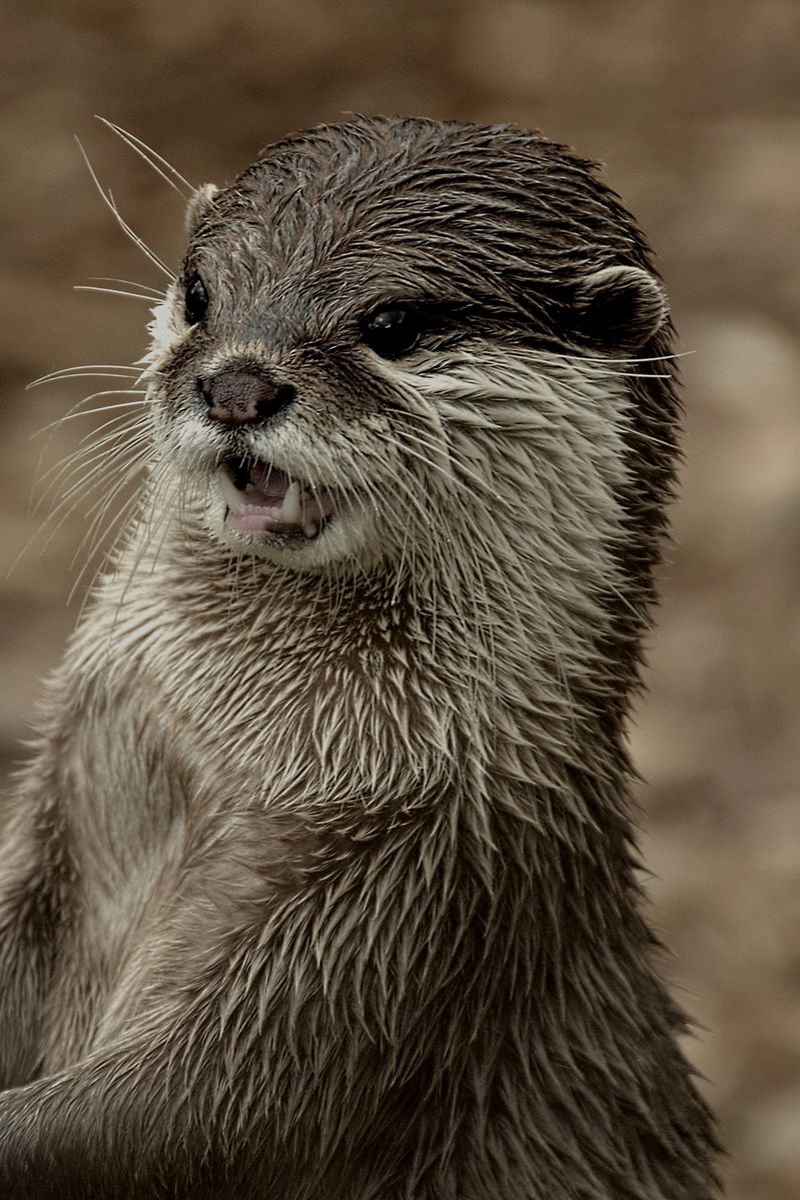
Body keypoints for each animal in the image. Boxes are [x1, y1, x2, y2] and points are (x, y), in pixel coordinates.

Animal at [0, 116, 720, 1198]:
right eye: (200, 291)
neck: (238, 749)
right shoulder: (62, 795)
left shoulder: (411, 906)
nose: (236, 387)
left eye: (393, 323)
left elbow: (191, 1114)